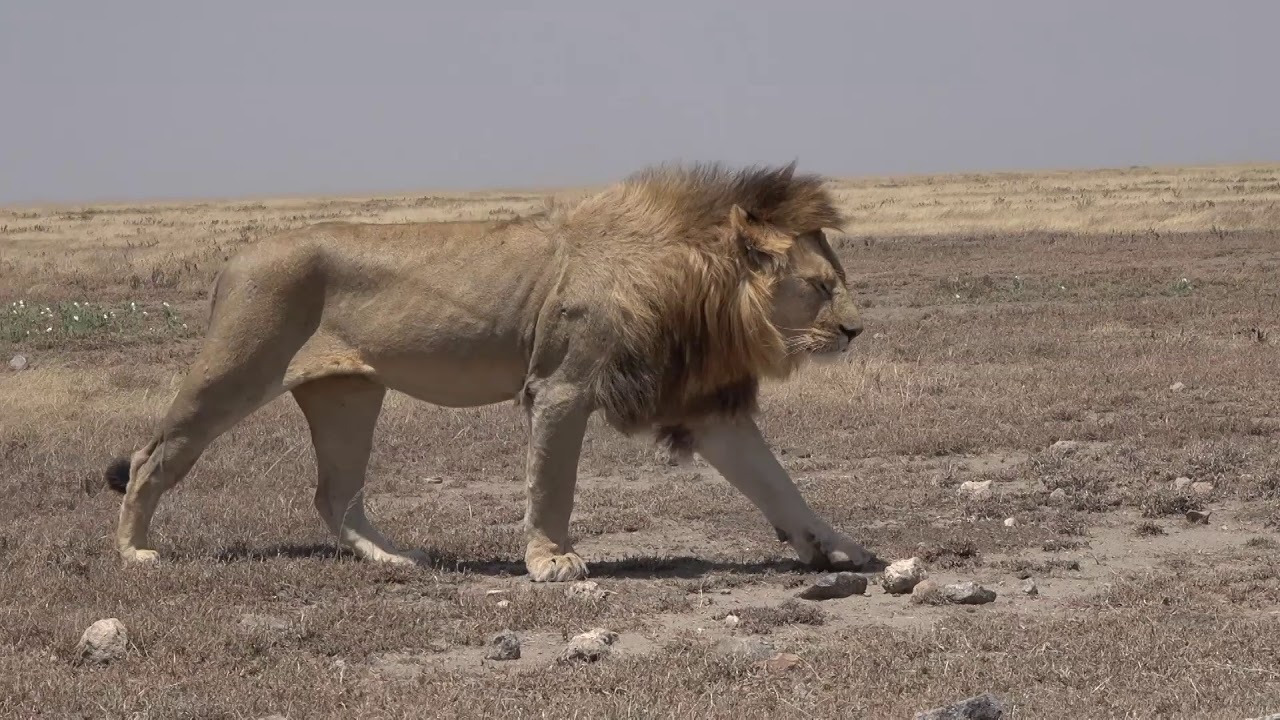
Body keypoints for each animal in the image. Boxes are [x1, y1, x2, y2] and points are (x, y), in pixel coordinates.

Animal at [101, 161, 877, 581]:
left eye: (836, 279)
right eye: (817, 285)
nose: (854, 329)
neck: (701, 290)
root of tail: (238, 255)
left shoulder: (703, 403)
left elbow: (779, 484)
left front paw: (839, 546)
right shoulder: (562, 385)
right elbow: (552, 485)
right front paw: (552, 561)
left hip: (348, 395)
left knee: (334, 493)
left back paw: (396, 559)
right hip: (234, 368)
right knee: (150, 456)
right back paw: (135, 550)